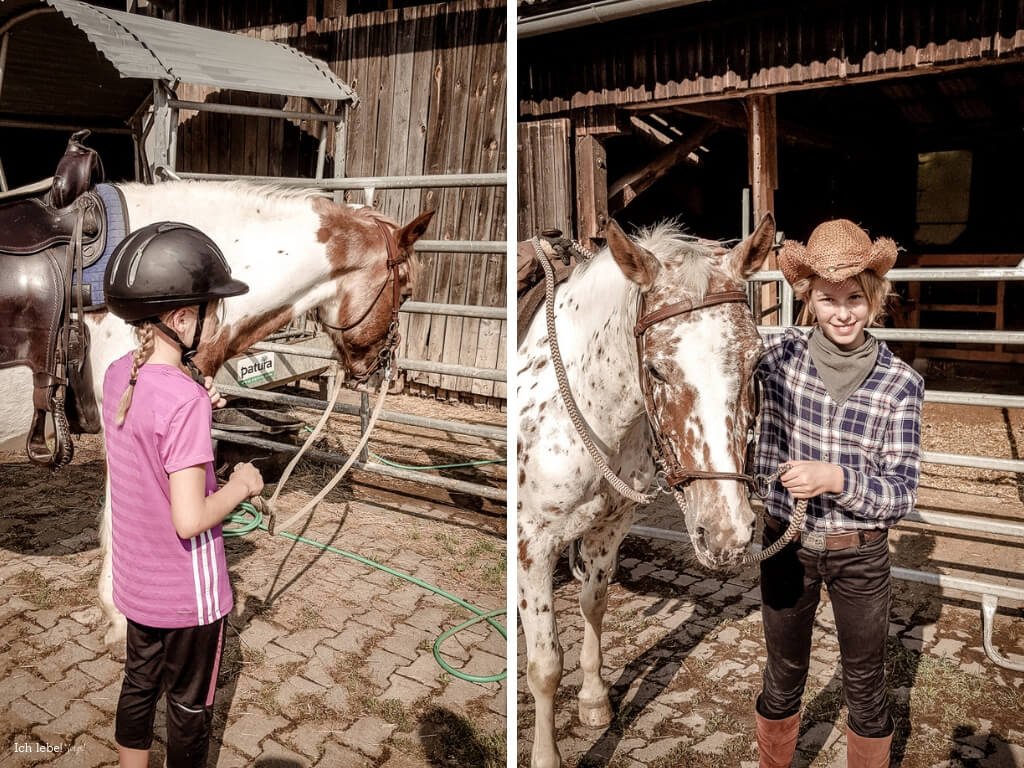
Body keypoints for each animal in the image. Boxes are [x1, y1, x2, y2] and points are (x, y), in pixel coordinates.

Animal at [520, 214, 774, 765]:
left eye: (755, 362)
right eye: (656, 367)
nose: (727, 533)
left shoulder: (610, 526)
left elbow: (593, 602)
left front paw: (594, 699)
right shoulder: (533, 544)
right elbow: (545, 664)